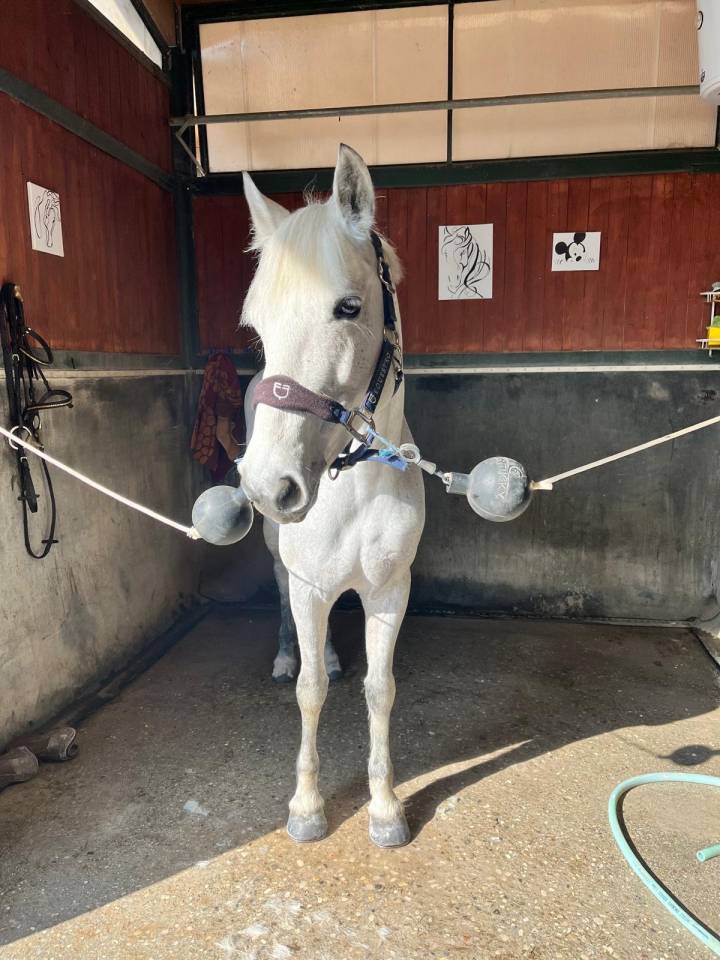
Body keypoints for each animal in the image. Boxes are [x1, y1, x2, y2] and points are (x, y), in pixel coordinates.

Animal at [238, 144, 426, 847]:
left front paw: (385, 808)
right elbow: (311, 692)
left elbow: (380, 689)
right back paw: (286, 654)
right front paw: (307, 807)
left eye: (348, 308)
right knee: (280, 599)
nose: (268, 484)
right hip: (280, 562)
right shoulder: (310, 586)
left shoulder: (390, 590)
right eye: (257, 326)